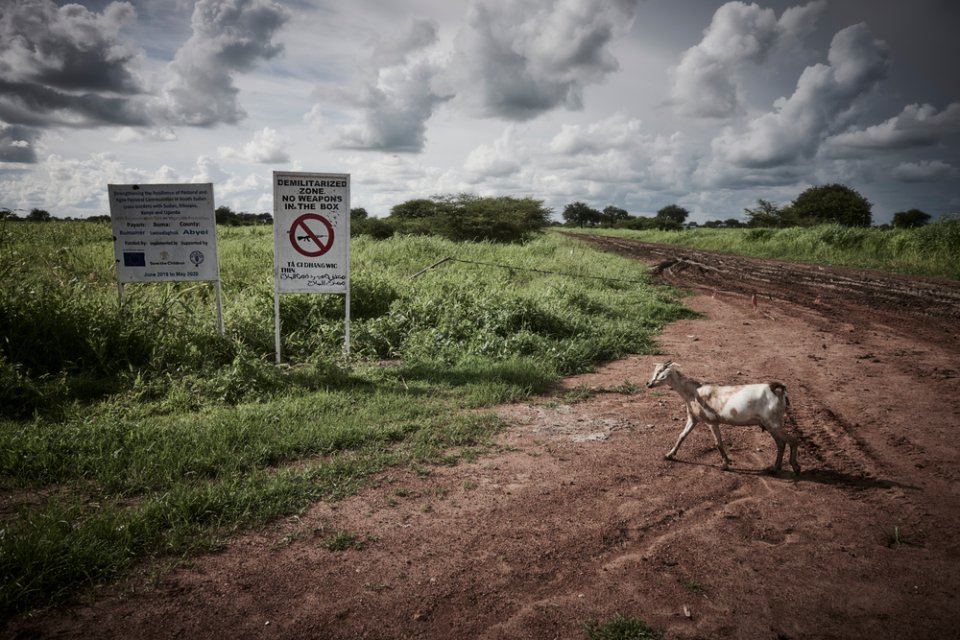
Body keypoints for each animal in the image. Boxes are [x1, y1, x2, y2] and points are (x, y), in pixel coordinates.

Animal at [644, 360, 804, 476]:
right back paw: (775, 468)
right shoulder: (693, 419)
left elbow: (718, 443)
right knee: (781, 444)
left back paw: (795, 467)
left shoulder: (711, 421)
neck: (693, 393)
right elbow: (682, 436)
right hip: (771, 424)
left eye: (660, 373)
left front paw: (725, 465)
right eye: (655, 371)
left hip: (773, 423)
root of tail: (777, 390)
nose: (649, 383)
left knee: (792, 440)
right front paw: (669, 455)